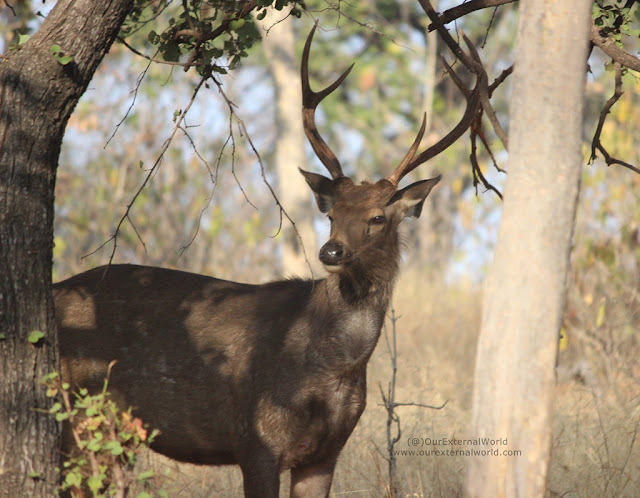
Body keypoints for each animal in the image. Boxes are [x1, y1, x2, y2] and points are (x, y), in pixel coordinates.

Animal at [55, 23, 478, 498]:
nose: (331, 251)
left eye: (377, 217)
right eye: (331, 214)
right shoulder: (256, 437)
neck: (332, 370)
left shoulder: (325, 452)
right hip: (78, 408)